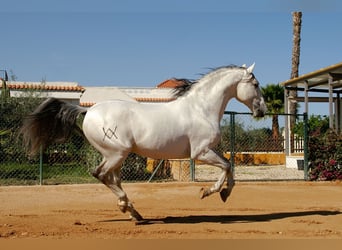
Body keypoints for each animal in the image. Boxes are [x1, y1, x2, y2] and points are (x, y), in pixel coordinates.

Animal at [20, 64, 268, 221]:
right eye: (256, 84)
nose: (262, 110)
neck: (201, 109)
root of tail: (88, 110)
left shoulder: (208, 151)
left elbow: (230, 167)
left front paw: (223, 193)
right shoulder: (201, 152)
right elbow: (227, 166)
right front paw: (210, 192)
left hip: (116, 156)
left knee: (113, 179)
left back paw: (133, 212)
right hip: (116, 154)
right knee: (100, 175)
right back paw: (128, 208)